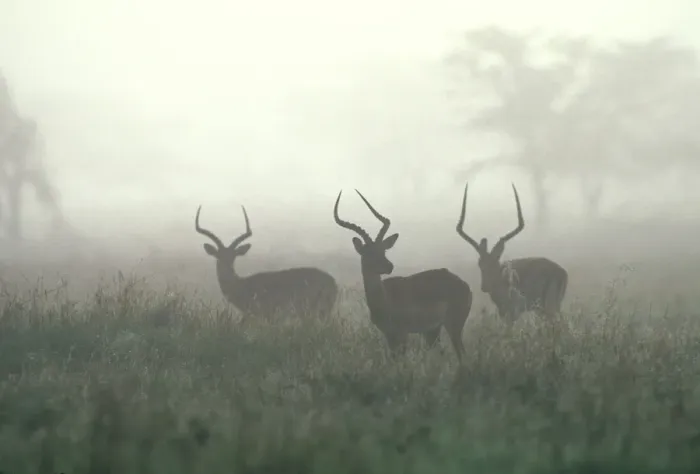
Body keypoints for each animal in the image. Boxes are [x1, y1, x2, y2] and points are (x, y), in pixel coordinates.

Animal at [334, 189, 472, 362]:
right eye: (368, 253)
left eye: (383, 250)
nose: (389, 266)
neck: (385, 299)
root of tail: (465, 285)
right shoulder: (389, 336)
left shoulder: (402, 334)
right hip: (433, 331)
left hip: (453, 327)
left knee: (463, 356)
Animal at [455, 182, 568, 323]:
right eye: (480, 263)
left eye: (495, 263)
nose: (484, 286)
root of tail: (561, 272)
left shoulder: (513, 312)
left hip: (547, 307)